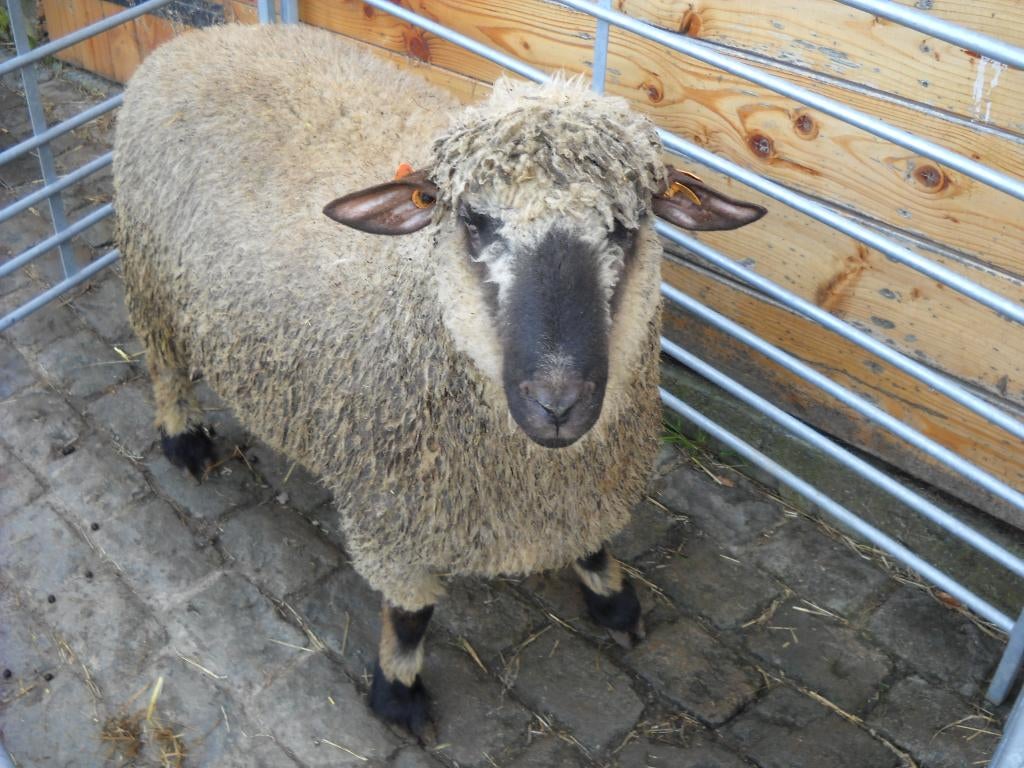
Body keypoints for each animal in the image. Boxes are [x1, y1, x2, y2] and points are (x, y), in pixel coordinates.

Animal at [113, 22, 766, 737]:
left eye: (627, 223)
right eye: (474, 220)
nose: (557, 402)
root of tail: (209, 35)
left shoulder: (590, 485)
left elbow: (595, 545)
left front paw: (615, 602)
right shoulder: (391, 515)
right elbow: (410, 614)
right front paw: (398, 693)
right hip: (149, 276)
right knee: (165, 367)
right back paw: (185, 441)